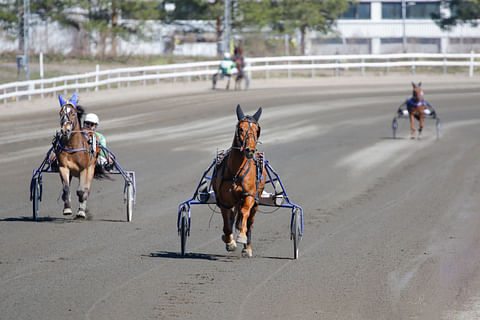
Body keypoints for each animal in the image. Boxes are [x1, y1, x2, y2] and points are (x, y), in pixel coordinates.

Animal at [55, 91, 101, 219]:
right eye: (61, 113)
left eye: (73, 113)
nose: (65, 130)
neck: (72, 148)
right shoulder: (63, 167)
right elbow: (66, 189)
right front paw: (67, 209)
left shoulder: (84, 169)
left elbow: (81, 191)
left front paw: (81, 211)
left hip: (91, 169)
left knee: (86, 189)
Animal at [213, 105, 268, 258]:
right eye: (241, 129)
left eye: (257, 130)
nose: (250, 150)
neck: (235, 172)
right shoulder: (224, 201)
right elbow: (227, 224)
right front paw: (229, 241)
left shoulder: (249, 195)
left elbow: (244, 212)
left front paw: (242, 237)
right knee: (232, 217)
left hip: (257, 201)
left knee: (250, 221)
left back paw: (247, 247)